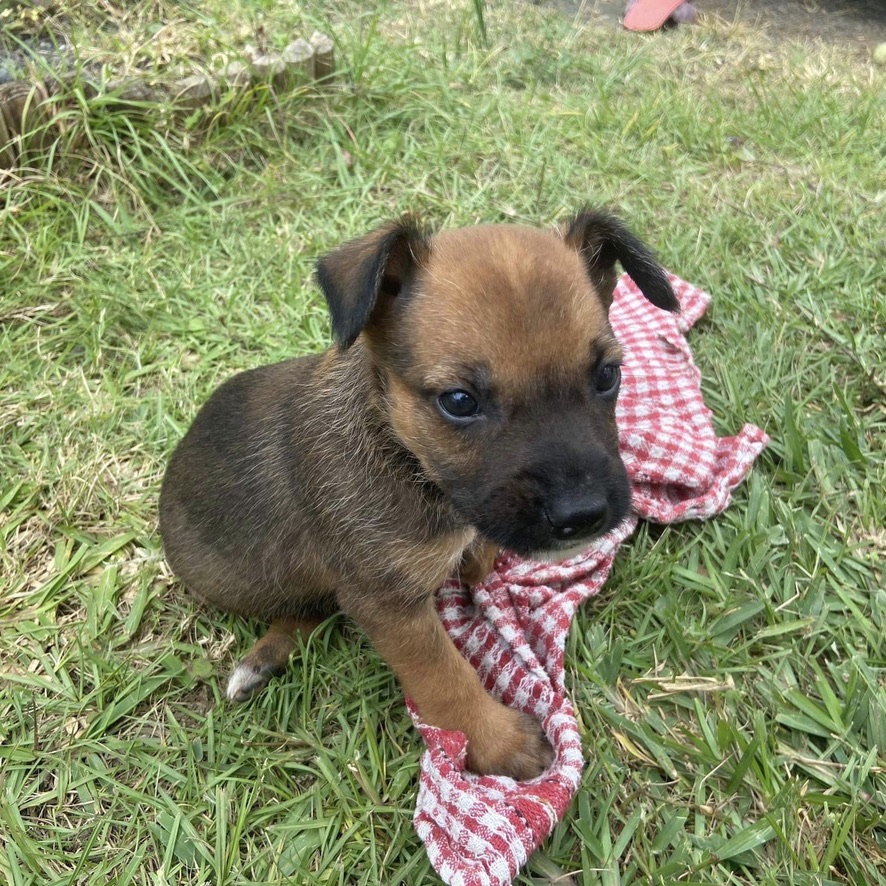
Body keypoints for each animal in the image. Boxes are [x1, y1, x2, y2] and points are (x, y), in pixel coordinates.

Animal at [158, 212, 680, 780]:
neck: (404, 453)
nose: (584, 516)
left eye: (608, 375)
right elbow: (444, 676)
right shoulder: (388, 603)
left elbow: (477, 554)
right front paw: (496, 741)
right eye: (460, 402)